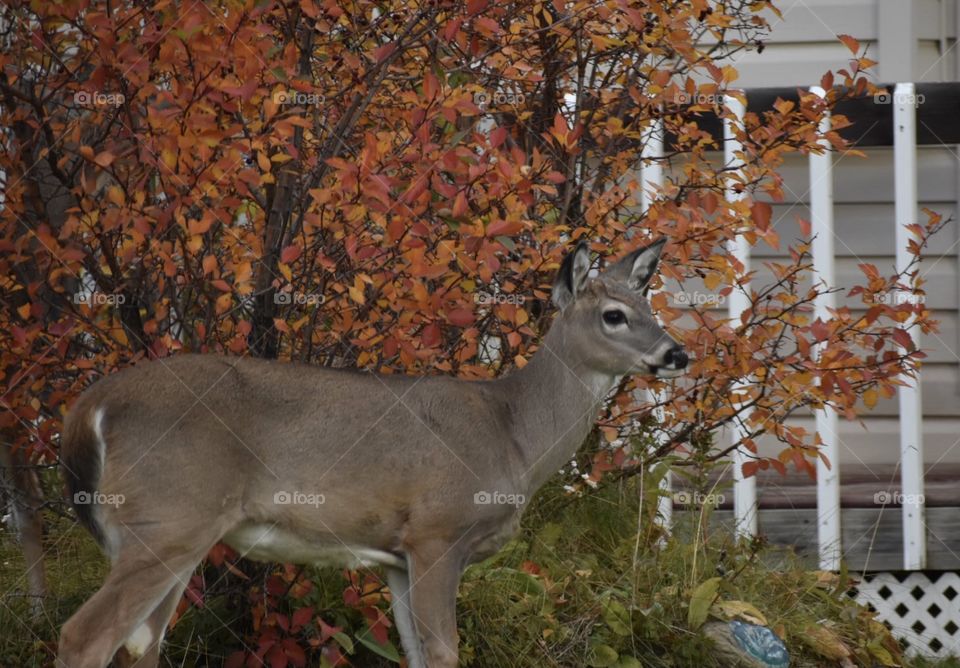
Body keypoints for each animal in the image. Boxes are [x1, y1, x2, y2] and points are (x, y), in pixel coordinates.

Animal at [58, 240, 688, 668]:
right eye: (614, 315)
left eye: (650, 307)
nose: (677, 353)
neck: (513, 433)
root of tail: (89, 406)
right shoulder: (436, 532)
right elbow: (444, 652)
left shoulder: (396, 558)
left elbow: (415, 652)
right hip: (167, 519)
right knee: (83, 637)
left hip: (171, 532)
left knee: (139, 644)